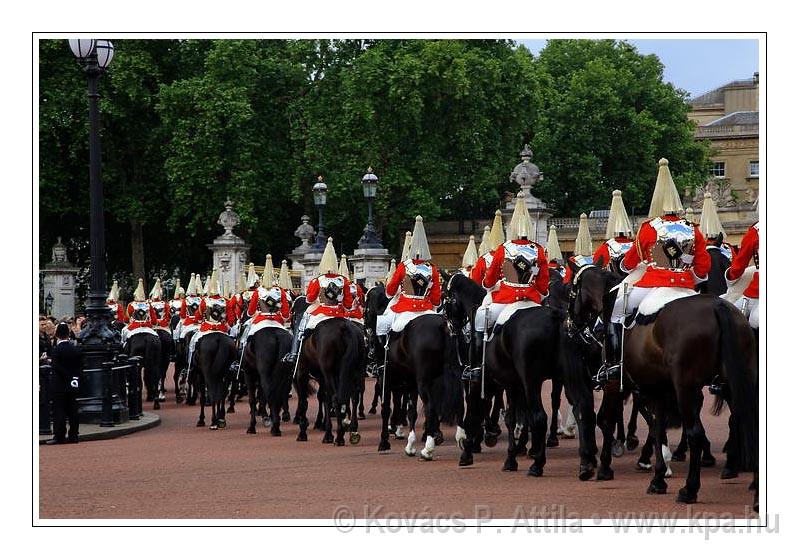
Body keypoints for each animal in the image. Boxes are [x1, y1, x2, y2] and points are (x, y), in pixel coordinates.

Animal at [440, 274, 596, 480]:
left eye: (445, 297)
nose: (450, 328)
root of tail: (555, 317)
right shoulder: (513, 384)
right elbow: (512, 418)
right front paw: (511, 457)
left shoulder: (479, 381)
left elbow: (476, 412)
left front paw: (468, 450)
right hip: (570, 376)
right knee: (582, 408)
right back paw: (586, 463)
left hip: (533, 381)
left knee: (541, 416)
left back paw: (538, 465)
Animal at [568, 266, 756, 508]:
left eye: (572, 291)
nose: (569, 325)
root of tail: (718, 307)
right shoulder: (660, 388)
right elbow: (657, 426)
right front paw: (658, 475)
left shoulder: (616, 384)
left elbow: (608, 421)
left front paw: (605, 467)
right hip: (734, 382)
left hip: (687, 387)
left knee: (696, 432)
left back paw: (689, 489)